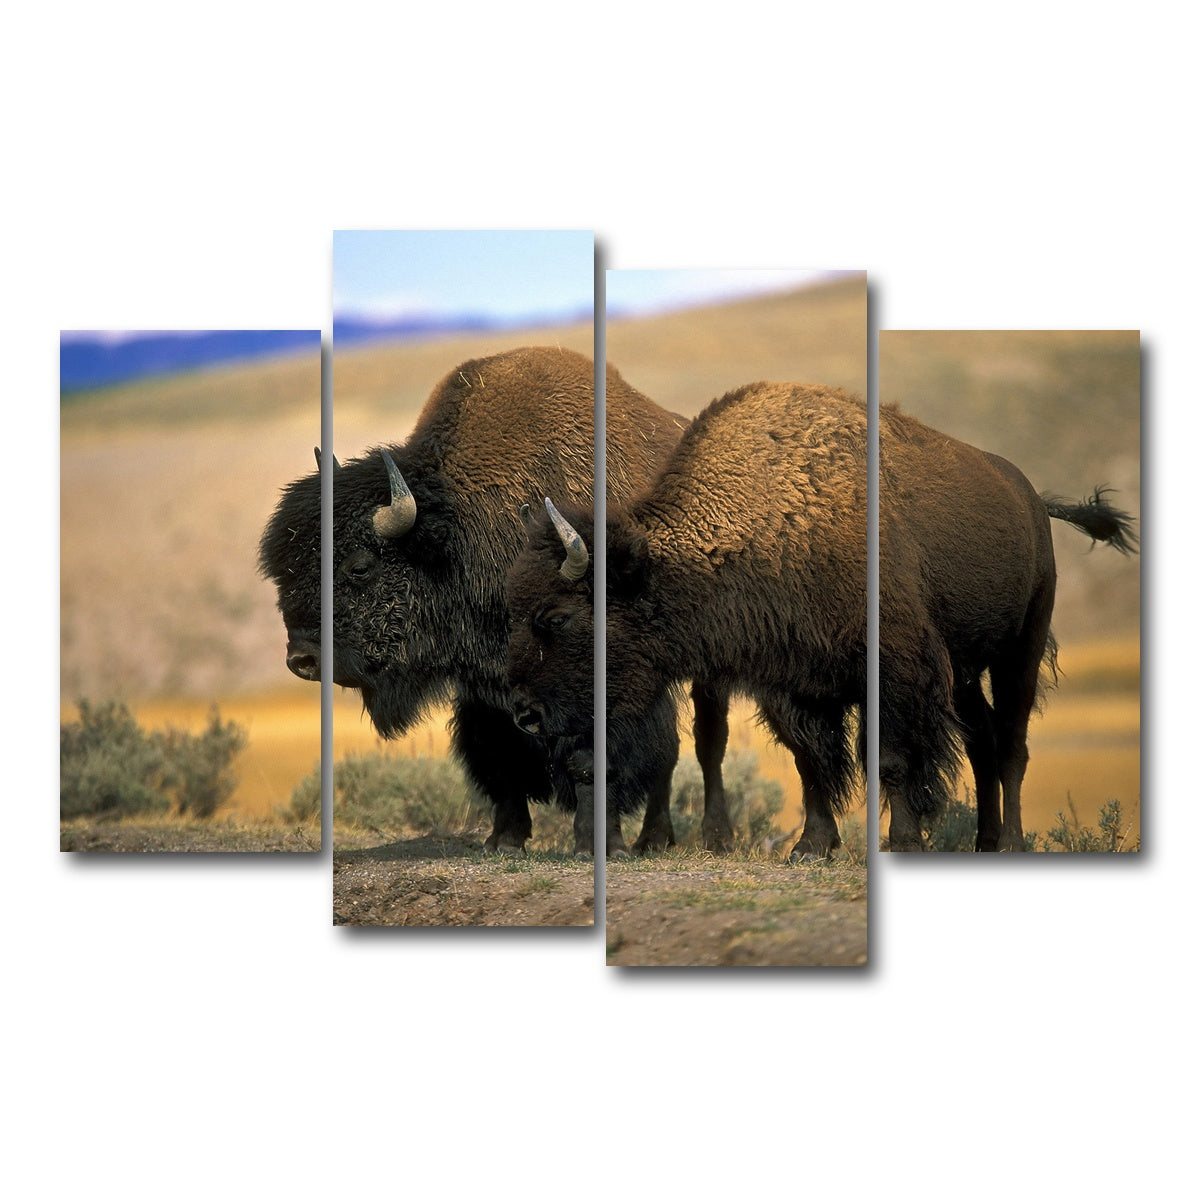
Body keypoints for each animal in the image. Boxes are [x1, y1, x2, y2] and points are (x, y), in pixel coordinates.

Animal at [259, 345, 702, 854]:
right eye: (284, 571)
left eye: (359, 566)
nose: (302, 659)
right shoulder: (485, 686)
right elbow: (499, 753)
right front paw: (505, 839)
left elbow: (595, 758)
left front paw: (599, 845)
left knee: (671, 754)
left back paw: (654, 839)